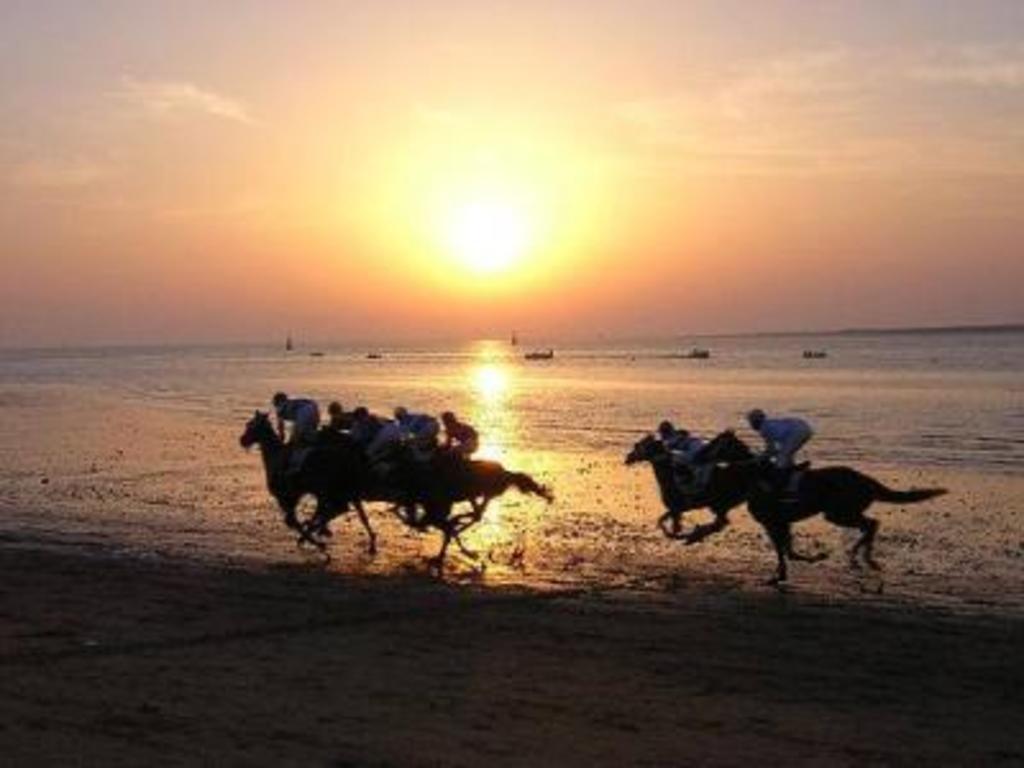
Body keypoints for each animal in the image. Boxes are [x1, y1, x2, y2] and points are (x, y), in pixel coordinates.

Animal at [238, 411, 377, 555]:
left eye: (250, 425)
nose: (242, 440)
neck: (275, 456)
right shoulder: (294, 496)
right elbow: (293, 520)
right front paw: (313, 538)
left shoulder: (285, 496)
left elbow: (292, 521)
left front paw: (317, 543)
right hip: (334, 491)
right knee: (344, 510)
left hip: (327, 490)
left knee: (338, 509)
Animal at [625, 430, 754, 541]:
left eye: (639, 446)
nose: (628, 457)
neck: (670, 476)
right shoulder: (676, 510)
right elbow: (664, 522)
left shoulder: (676, 509)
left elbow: (669, 527)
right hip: (719, 506)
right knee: (720, 523)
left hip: (718, 505)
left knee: (720, 523)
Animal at [681, 431, 948, 584]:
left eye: (714, 444)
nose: (695, 455)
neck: (757, 476)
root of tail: (866, 479)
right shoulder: (778, 522)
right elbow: (785, 550)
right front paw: (782, 573)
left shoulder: (774, 521)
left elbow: (786, 550)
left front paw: (808, 561)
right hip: (841, 512)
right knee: (869, 525)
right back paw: (859, 555)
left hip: (839, 512)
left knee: (871, 524)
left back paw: (863, 557)